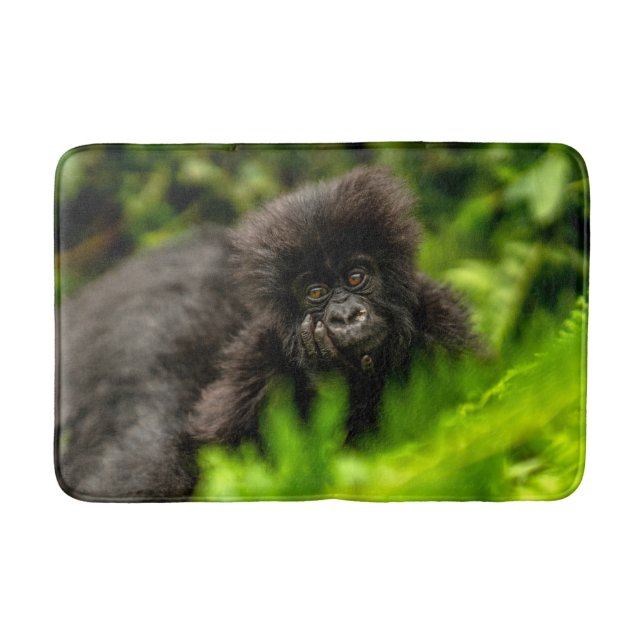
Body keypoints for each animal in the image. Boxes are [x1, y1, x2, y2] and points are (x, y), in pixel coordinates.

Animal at [56, 167, 479, 501]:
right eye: (316, 293)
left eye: (357, 277)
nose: (346, 316)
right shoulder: (254, 362)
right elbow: (202, 449)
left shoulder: (443, 322)